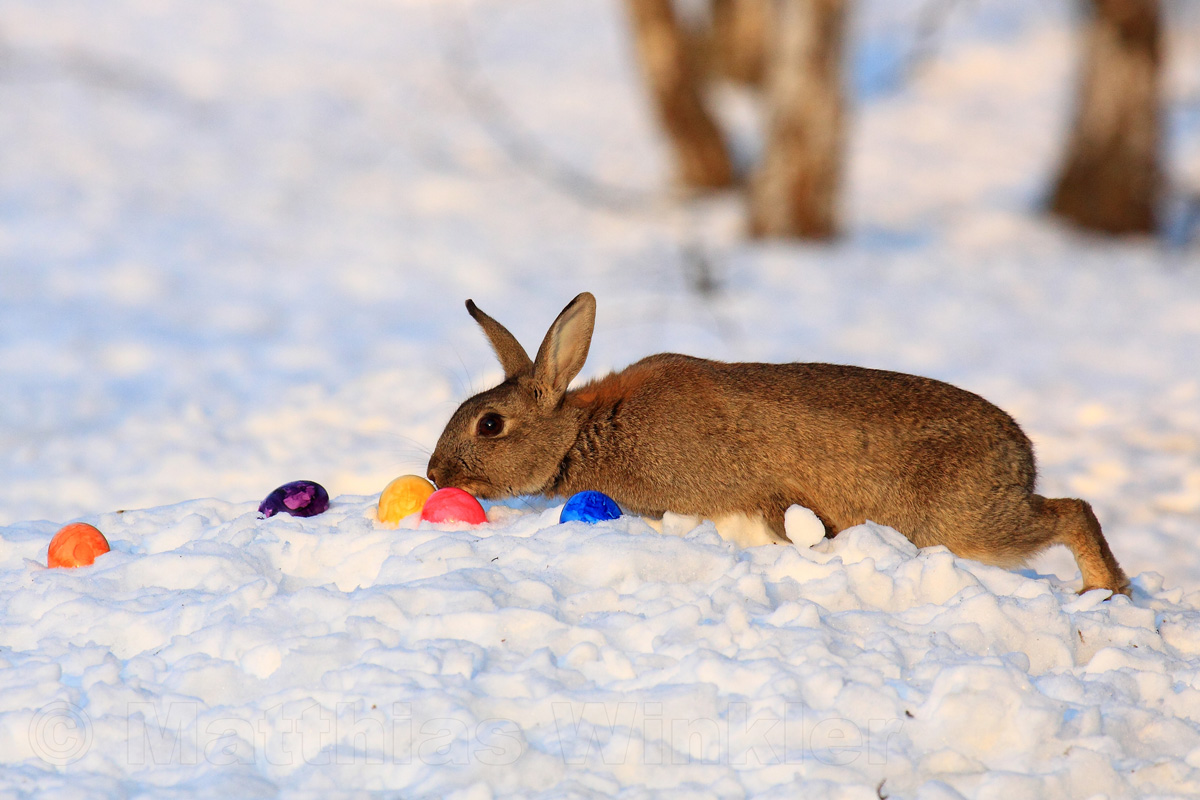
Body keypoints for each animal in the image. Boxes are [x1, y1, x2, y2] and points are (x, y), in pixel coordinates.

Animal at [427, 292, 1128, 594]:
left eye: (489, 425)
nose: (435, 475)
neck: (585, 430)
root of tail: (1022, 460)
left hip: (964, 523)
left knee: (1073, 512)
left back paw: (1103, 590)